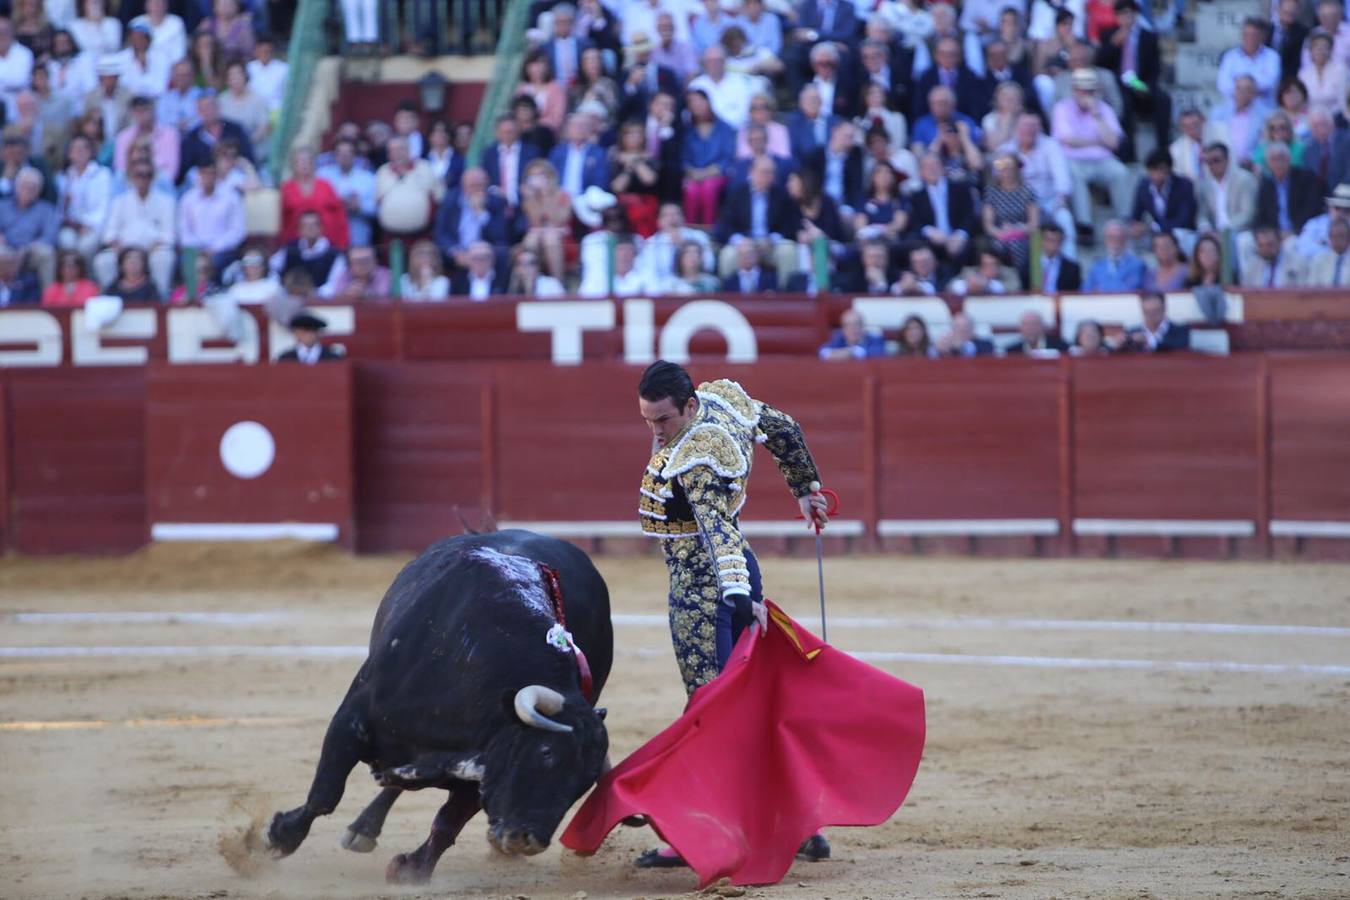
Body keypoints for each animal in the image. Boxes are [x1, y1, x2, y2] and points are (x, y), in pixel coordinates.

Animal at [265, 531, 615, 885]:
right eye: (545, 752)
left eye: (585, 782)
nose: (527, 840)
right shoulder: (351, 719)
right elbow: (325, 794)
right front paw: (280, 837)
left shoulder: (486, 763)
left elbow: (447, 822)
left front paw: (412, 869)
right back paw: (360, 830)